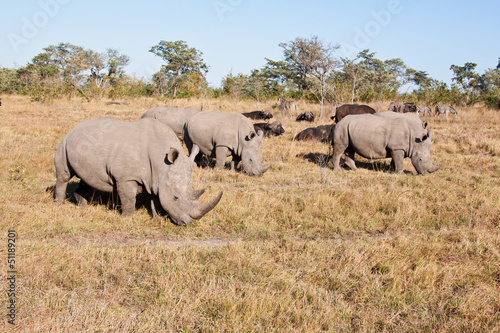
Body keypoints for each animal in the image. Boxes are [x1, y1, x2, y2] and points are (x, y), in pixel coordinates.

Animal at [53, 117, 223, 226]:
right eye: (176, 197)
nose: (189, 222)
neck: (162, 163)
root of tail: (74, 128)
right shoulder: (126, 178)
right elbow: (129, 199)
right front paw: (126, 218)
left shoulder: (157, 178)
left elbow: (156, 199)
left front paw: (156, 218)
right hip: (64, 142)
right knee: (64, 176)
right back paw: (59, 205)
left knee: (86, 179)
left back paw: (82, 206)